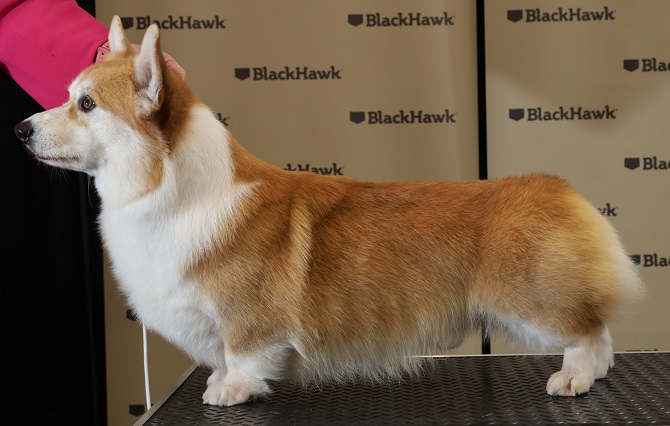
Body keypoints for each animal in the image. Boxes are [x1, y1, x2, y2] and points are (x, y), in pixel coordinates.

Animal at [15, 16, 644, 406]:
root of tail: (557, 188)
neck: (167, 191)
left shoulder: (248, 320)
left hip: (528, 300)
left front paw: (230, 391)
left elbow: (243, 354)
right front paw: (217, 380)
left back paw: (575, 377)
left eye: (87, 104)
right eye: (68, 95)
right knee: (602, 330)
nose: (19, 130)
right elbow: (220, 356)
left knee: (587, 329)